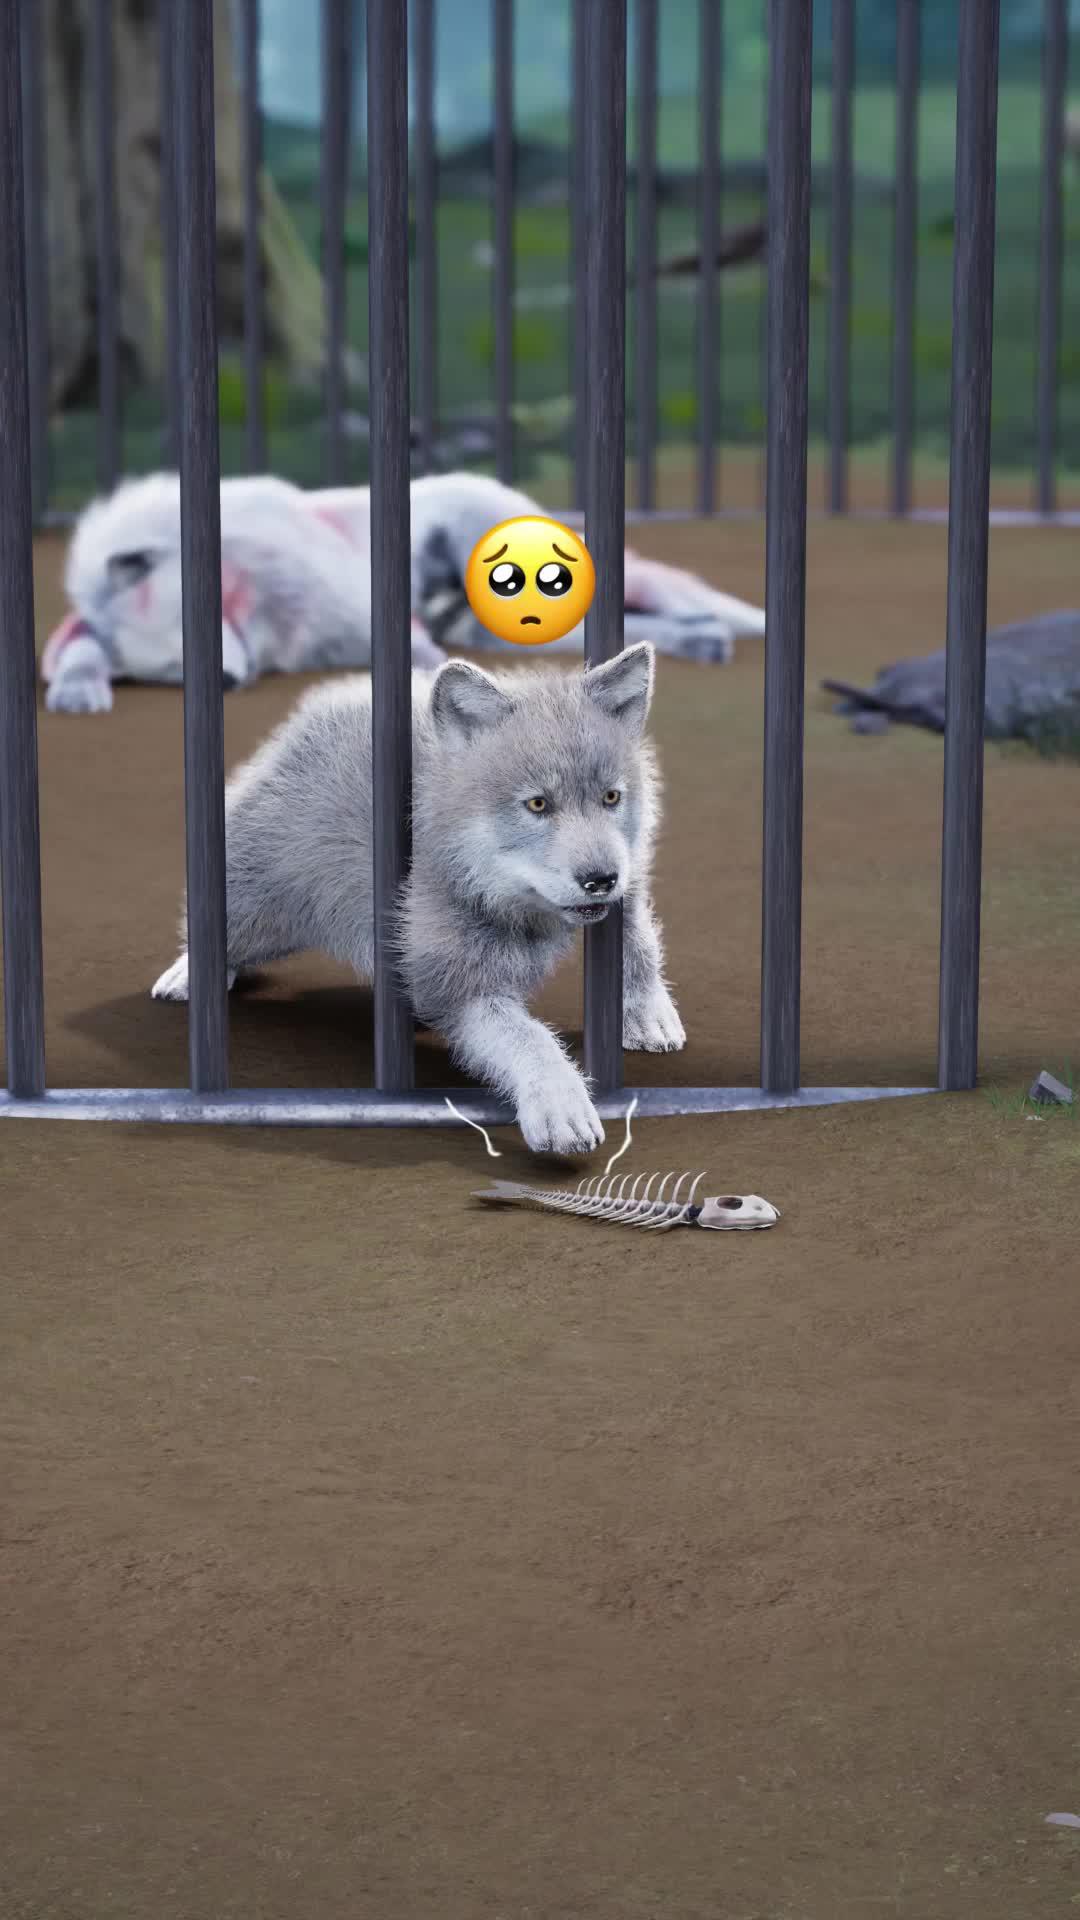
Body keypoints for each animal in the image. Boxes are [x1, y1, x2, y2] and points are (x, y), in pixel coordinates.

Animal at [42, 469, 766, 714]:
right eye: (171, 670)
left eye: (194, 628)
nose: (222, 682)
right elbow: (81, 652)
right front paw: (78, 686)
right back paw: (703, 638)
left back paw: (728, 624)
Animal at [150, 641, 685, 1154]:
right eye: (537, 804)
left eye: (611, 797)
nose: (600, 878)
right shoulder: (460, 987)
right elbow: (527, 1036)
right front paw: (560, 1104)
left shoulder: (627, 888)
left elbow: (637, 942)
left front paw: (647, 1014)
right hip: (260, 911)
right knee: (221, 927)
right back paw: (189, 975)